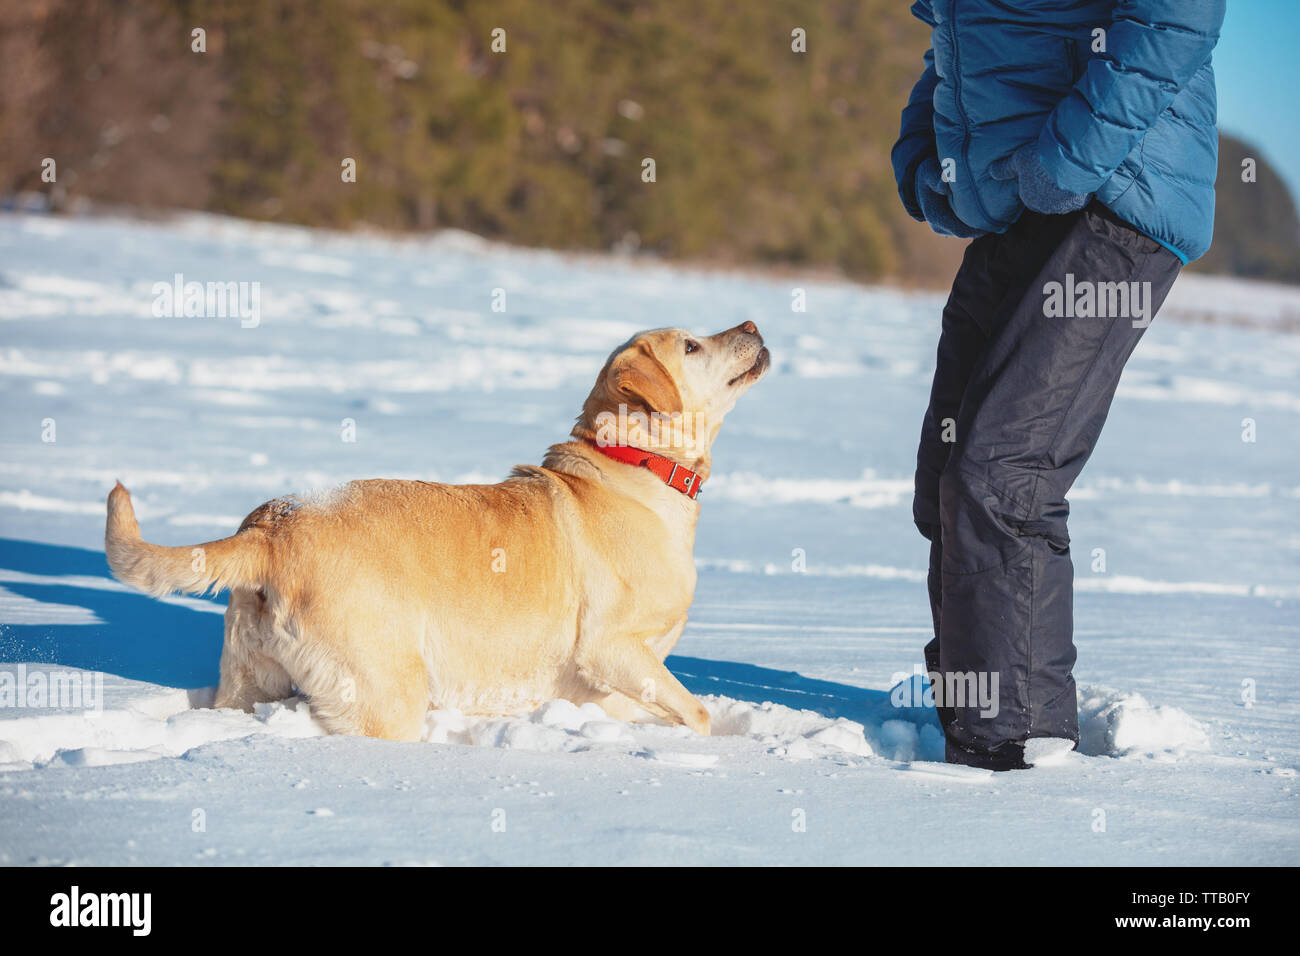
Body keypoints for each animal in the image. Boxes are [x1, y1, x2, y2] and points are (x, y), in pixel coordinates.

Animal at [109, 325, 769, 743]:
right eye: (691, 344)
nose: (753, 323)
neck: (637, 462)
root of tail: (271, 526)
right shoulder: (610, 648)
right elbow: (698, 713)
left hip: (248, 678)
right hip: (386, 687)